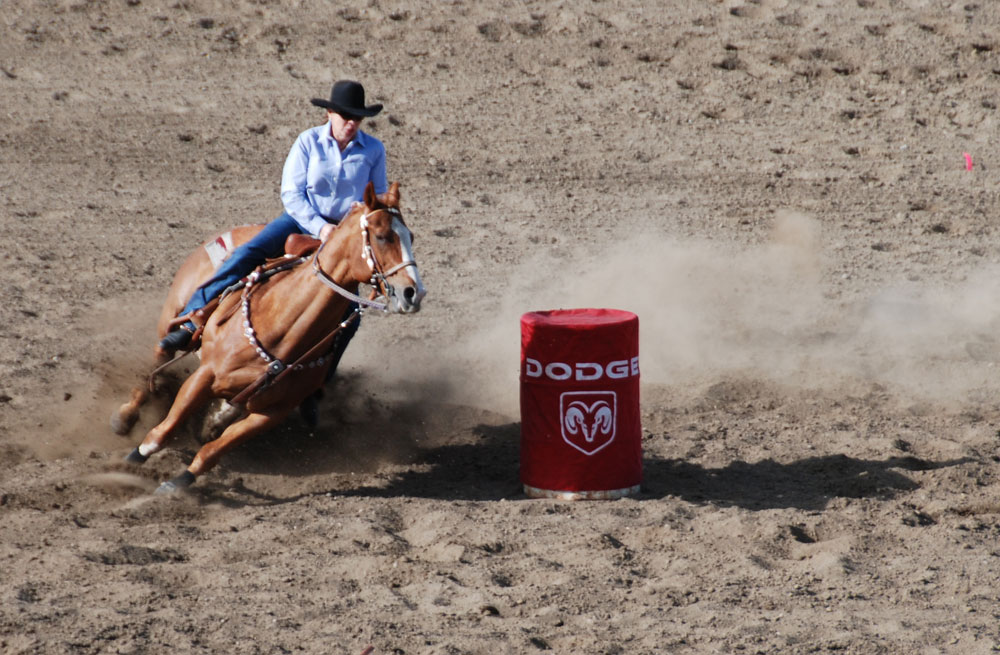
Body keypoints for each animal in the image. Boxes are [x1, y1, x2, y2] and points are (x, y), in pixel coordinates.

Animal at [115, 182, 424, 494]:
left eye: (410, 236)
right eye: (383, 236)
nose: (414, 293)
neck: (283, 328)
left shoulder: (272, 413)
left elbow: (215, 450)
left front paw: (178, 483)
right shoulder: (204, 376)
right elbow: (164, 429)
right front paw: (131, 461)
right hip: (171, 317)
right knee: (156, 364)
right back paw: (125, 416)